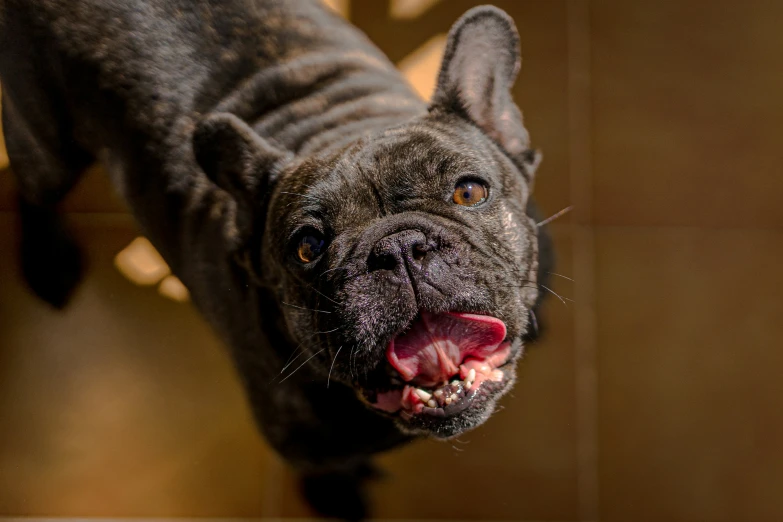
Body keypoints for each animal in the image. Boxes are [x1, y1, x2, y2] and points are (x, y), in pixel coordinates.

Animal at [1, 0, 552, 516]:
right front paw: (338, 497)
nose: (397, 249)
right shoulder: (306, 447)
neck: (335, 122)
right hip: (47, 150)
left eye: (469, 192)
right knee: (33, 190)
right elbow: (329, 470)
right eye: (307, 246)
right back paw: (49, 261)